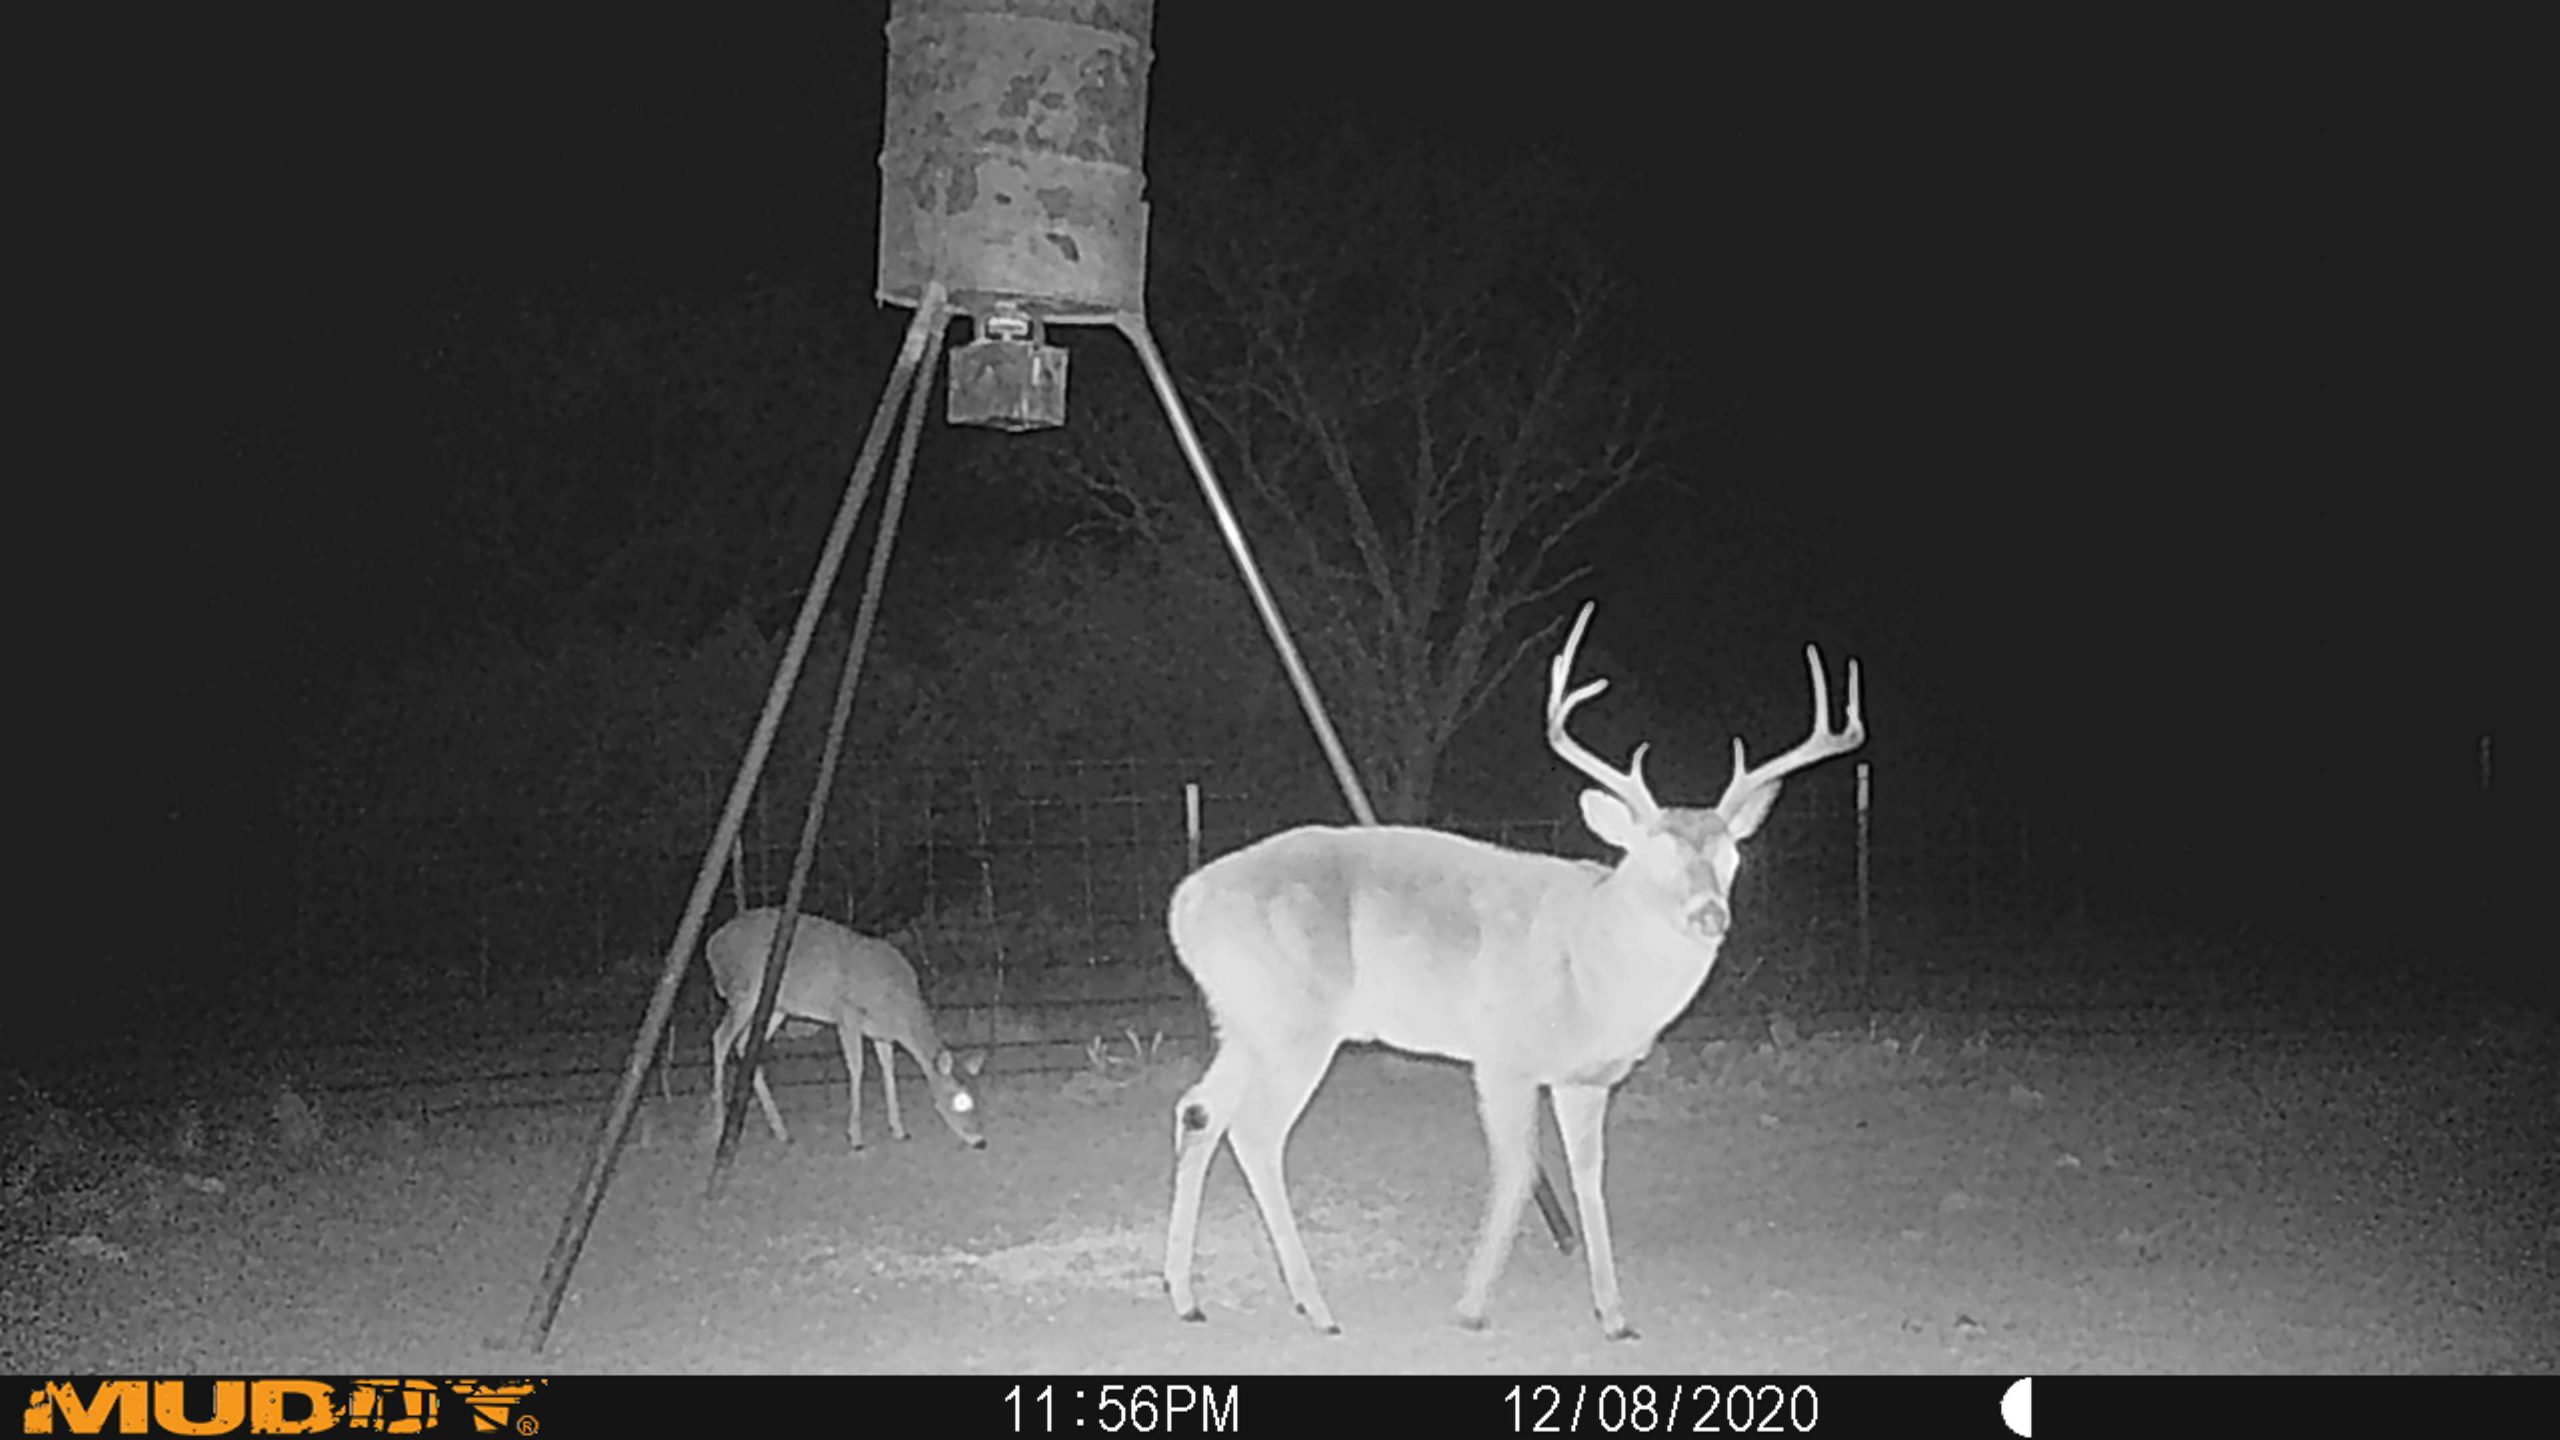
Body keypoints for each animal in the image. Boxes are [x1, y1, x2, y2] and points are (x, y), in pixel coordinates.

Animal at [704, 907, 986, 1152]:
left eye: (980, 1095)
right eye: (961, 1100)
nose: (981, 1140)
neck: (898, 1008)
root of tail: (711, 945)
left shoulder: (882, 1032)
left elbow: (888, 1068)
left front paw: (898, 1129)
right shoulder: (847, 1014)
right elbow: (857, 1068)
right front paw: (856, 1137)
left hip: (777, 1007)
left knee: (743, 1045)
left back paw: (781, 1130)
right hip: (743, 991)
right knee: (720, 1038)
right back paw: (718, 1129)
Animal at [1162, 602, 1864, 1339]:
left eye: (1734, 857)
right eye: (1654, 855)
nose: (1710, 915)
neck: (1592, 962)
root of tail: (1186, 903)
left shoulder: (1586, 1078)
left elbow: (1588, 1175)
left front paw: (1614, 1314)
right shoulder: (1503, 1055)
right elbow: (1519, 1169)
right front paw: (1472, 1305)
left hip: (1245, 1023)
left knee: (1199, 1110)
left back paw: (1187, 1295)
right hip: (1295, 1021)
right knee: (1255, 1130)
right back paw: (1316, 1306)